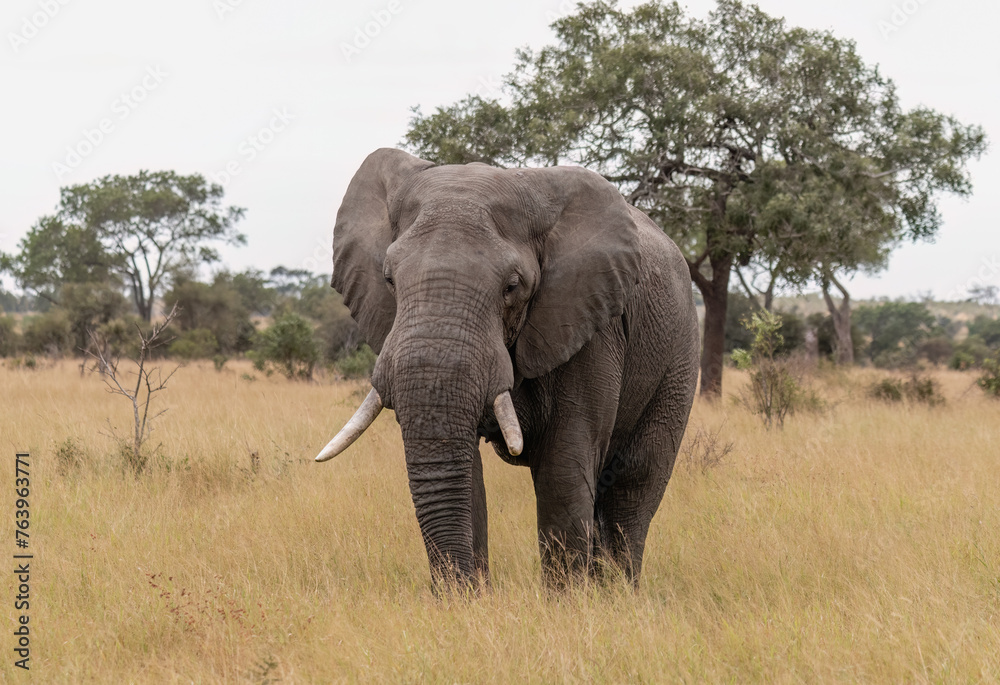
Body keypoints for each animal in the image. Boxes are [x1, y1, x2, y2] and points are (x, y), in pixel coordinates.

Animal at [316, 147, 700, 584]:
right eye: (389, 279)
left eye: (512, 287)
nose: (459, 590)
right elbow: (467, 475)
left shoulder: (594, 327)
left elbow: (564, 469)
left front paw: (570, 599)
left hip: (679, 356)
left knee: (633, 487)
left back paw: (619, 591)